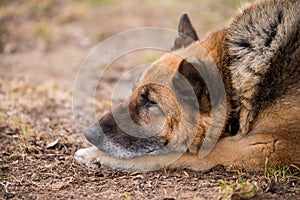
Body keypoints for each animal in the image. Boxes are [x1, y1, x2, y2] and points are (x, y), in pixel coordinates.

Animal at [75, 0, 300, 172]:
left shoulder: (265, 145)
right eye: (134, 91)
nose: (90, 134)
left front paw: (93, 153)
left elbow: (171, 153)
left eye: (151, 102)